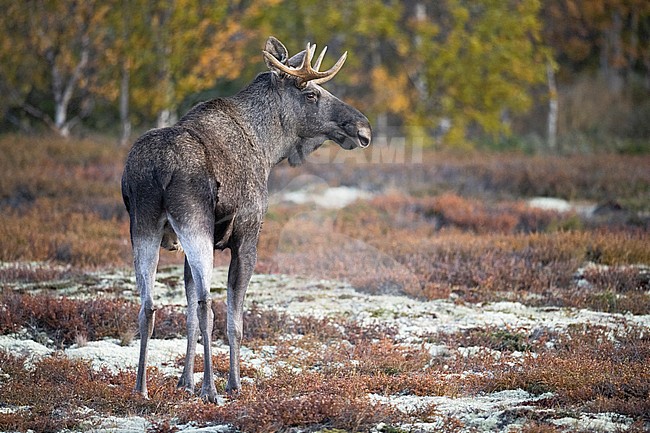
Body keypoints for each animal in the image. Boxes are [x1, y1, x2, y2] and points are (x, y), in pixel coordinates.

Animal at [118, 35, 368, 400]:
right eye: (311, 93)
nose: (363, 128)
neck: (269, 149)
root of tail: (159, 167)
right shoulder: (246, 238)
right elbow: (234, 321)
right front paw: (232, 383)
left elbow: (187, 315)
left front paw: (184, 382)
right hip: (194, 223)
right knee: (207, 304)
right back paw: (211, 389)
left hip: (143, 225)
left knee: (147, 305)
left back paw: (141, 387)